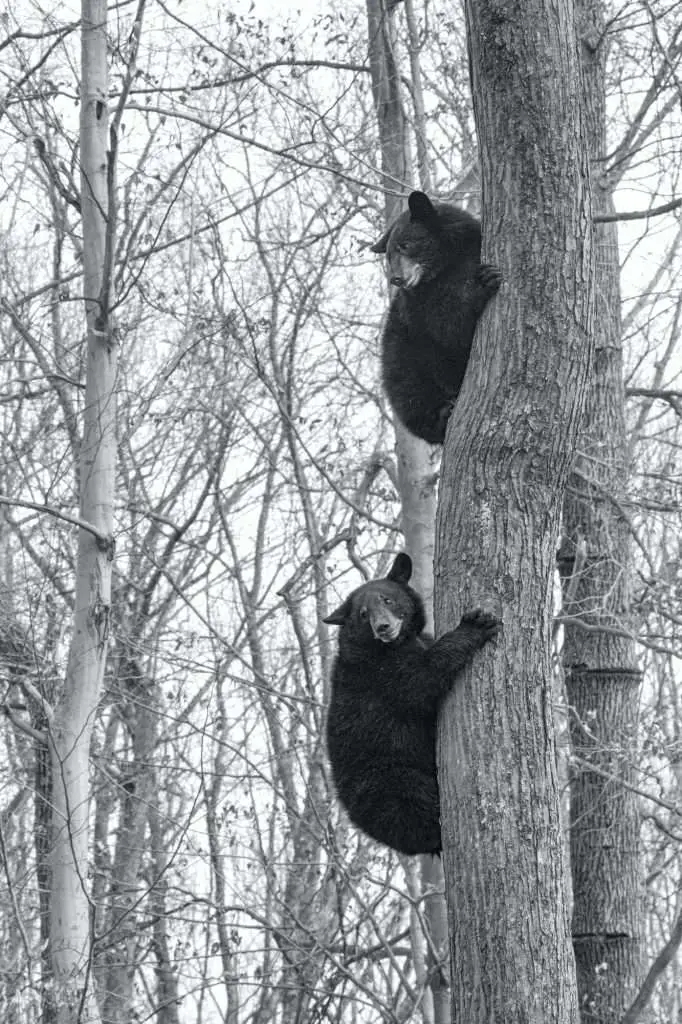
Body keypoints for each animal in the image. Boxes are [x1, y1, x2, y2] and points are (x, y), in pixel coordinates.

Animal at [321, 552, 497, 856]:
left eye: (388, 600)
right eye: (363, 614)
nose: (383, 627)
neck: (389, 645)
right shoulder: (381, 674)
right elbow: (422, 680)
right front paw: (474, 625)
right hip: (392, 780)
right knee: (416, 804)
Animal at [372, 191, 499, 444]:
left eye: (406, 245)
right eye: (388, 256)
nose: (396, 279)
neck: (445, 266)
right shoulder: (418, 305)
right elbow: (449, 327)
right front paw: (484, 283)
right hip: (403, 353)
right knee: (408, 390)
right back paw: (442, 414)